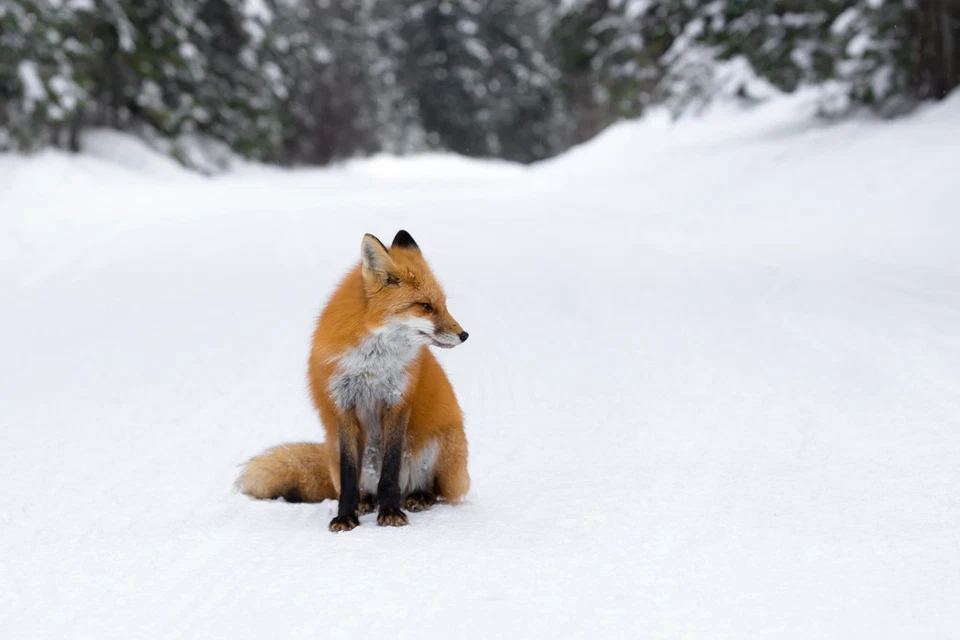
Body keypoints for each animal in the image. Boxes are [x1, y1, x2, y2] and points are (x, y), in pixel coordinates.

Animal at [236, 230, 470, 532]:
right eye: (425, 306)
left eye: (443, 305)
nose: (464, 335)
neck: (371, 365)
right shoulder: (343, 405)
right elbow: (349, 478)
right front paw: (346, 515)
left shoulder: (397, 402)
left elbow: (390, 472)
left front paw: (390, 512)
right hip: (336, 447)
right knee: (359, 486)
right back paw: (367, 501)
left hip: (439, 448)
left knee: (435, 490)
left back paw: (417, 497)